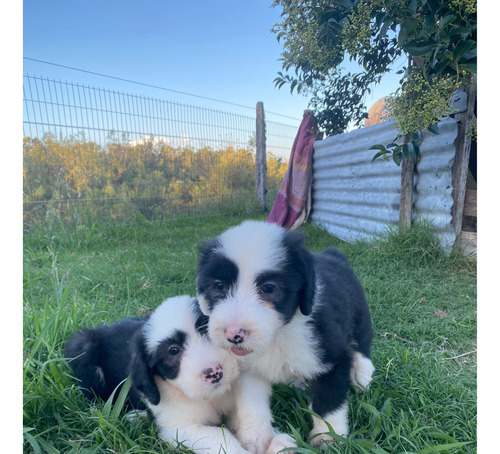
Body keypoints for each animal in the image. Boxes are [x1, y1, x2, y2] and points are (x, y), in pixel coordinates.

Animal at [65, 296, 254, 452]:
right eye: (173, 351)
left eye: (207, 331)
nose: (214, 372)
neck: (209, 398)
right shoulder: (176, 429)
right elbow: (217, 436)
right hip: (83, 352)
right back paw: (135, 416)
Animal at [195, 220, 376, 450]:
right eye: (218, 286)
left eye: (268, 288)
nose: (233, 334)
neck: (277, 336)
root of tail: (333, 254)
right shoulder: (248, 369)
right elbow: (251, 404)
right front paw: (256, 438)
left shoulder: (331, 355)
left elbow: (328, 401)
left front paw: (328, 437)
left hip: (360, 311)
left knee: (362, 342)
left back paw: (362, 374)